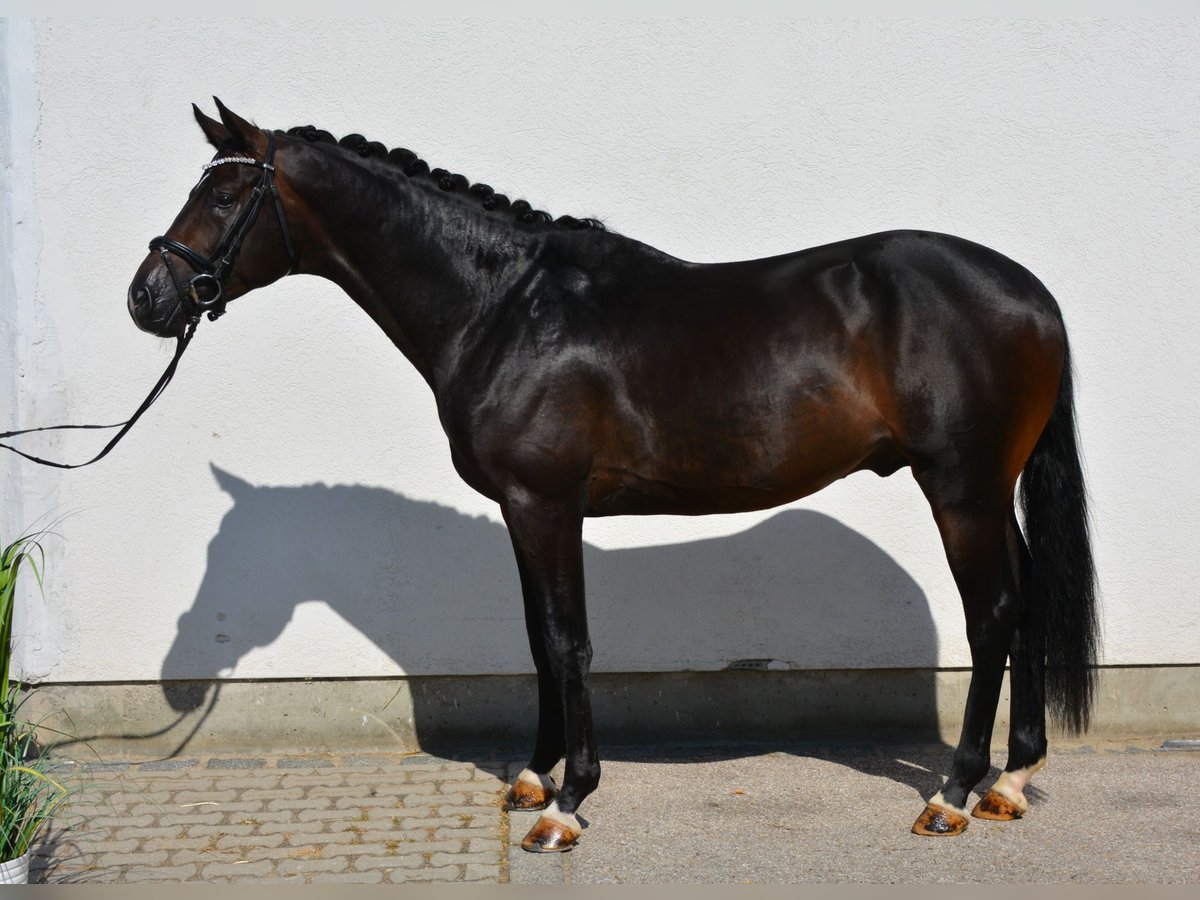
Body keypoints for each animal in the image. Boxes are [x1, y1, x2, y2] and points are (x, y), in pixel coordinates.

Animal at [129, 100, 1099, 854]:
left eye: (224, 194)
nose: (147, 298)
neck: (504, 307)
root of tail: (1033, 294)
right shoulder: (523, 512)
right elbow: (536, 641)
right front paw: (532, 776)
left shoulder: (547, 505)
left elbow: (568, 643)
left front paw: (566, 806)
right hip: (990, 492)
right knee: (1027, 600)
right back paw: (1011, 782)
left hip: (961, 489)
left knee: (993, 614)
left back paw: (953, 793)